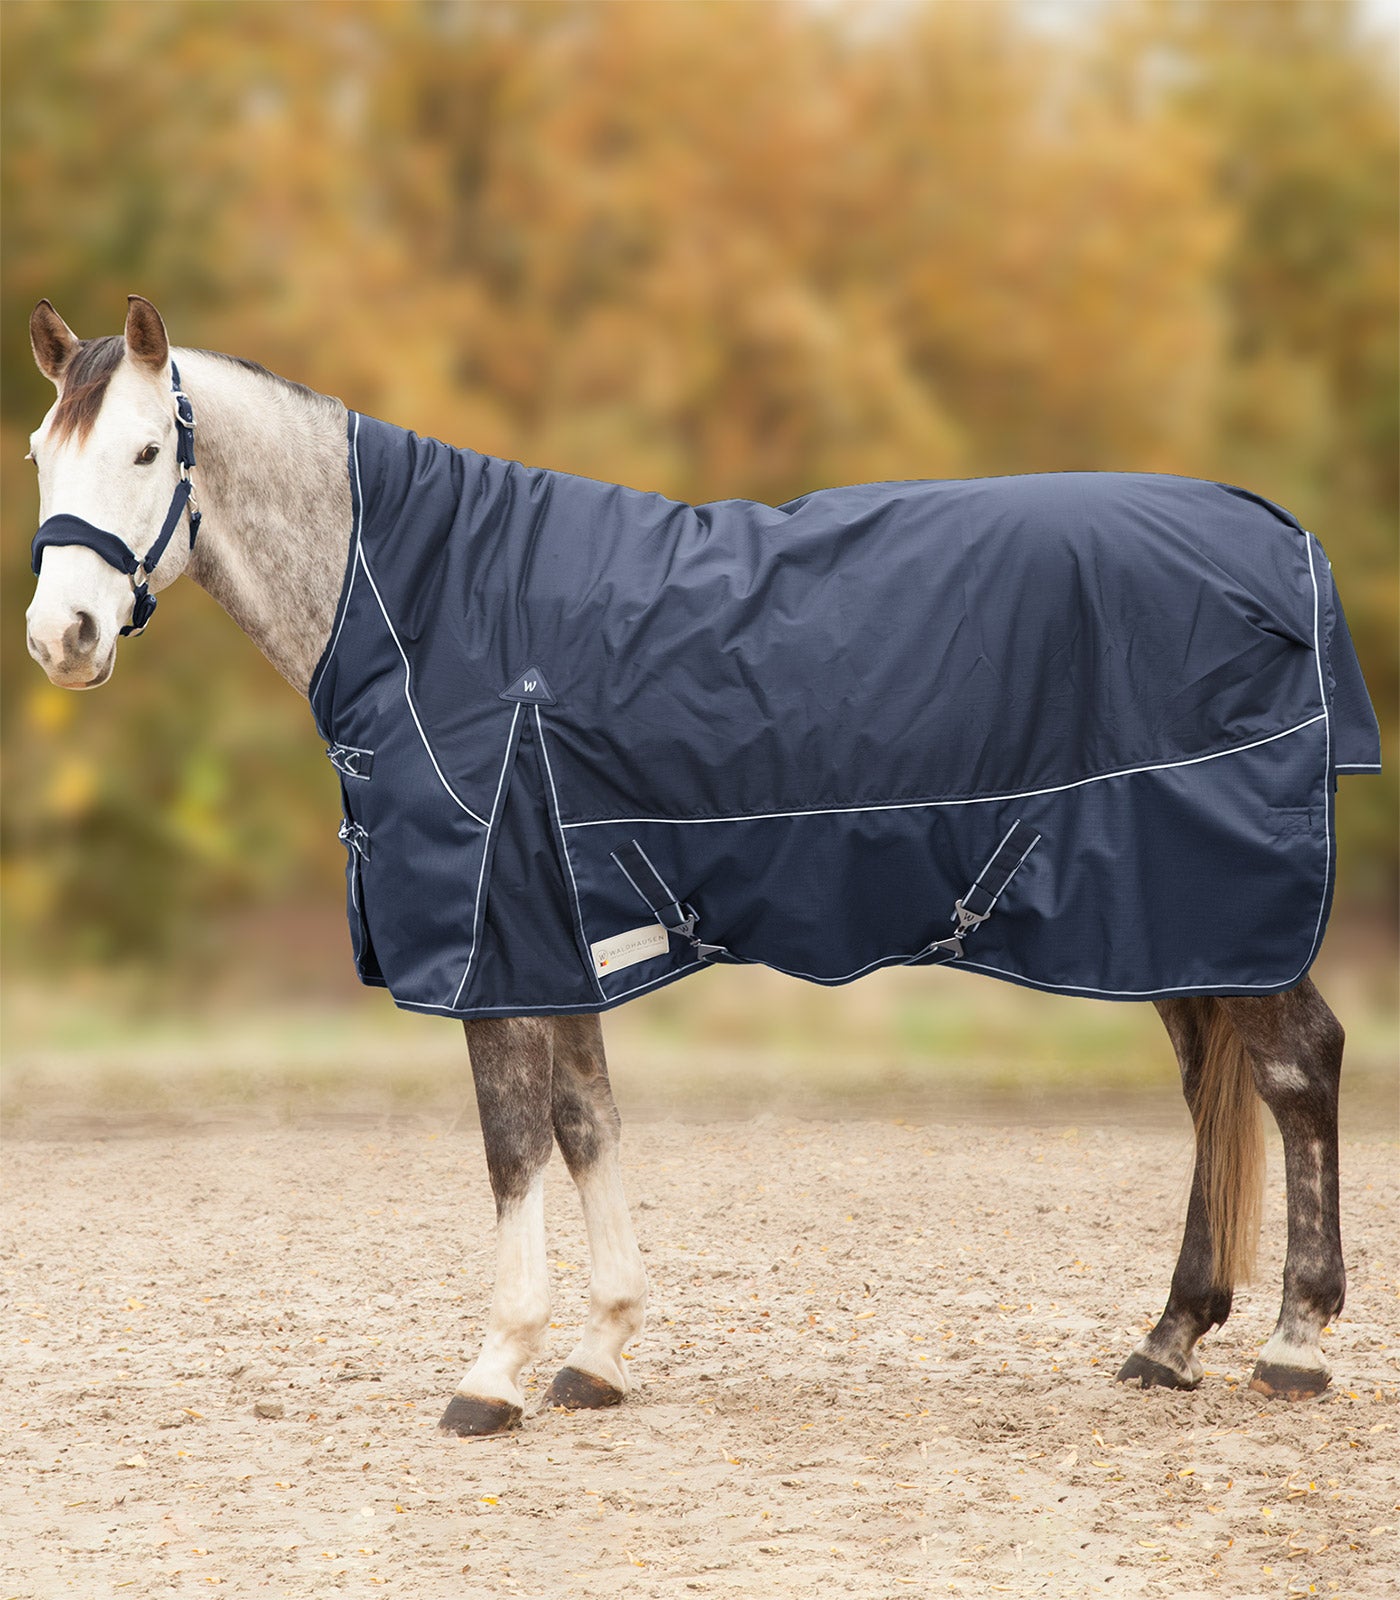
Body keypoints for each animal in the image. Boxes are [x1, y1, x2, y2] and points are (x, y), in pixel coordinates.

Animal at [23, 295, 1367, 1436]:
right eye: (42, 453)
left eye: (145, 452)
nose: (62, 638)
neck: (438, 609)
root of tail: (1281, 537)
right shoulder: (563, 929)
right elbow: (586, 1123)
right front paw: (599, 1351)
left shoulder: (497, 937)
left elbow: (513, 1142)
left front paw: (494, 1372)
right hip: (1173, 920)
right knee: (1208, 1091)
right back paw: (1169, 1335)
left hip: (1213, 904)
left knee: (1295, 1067)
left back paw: (1292, 1345)